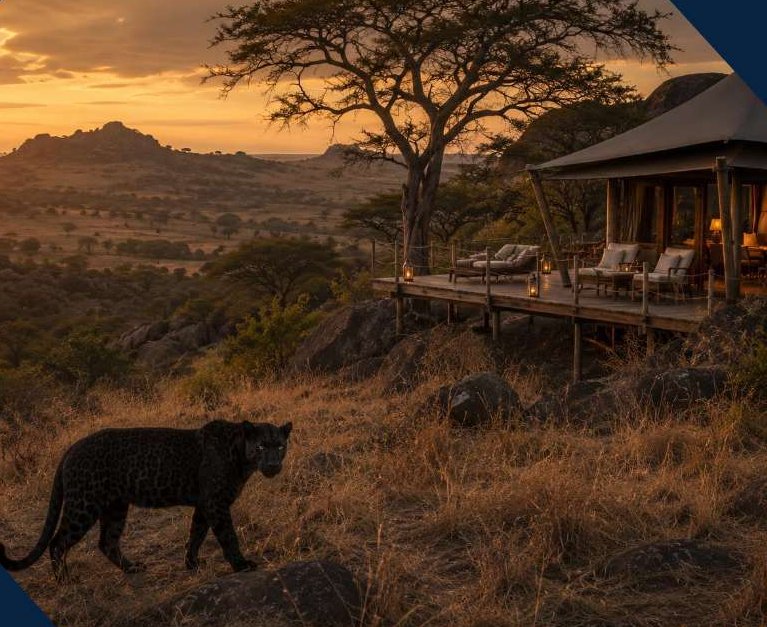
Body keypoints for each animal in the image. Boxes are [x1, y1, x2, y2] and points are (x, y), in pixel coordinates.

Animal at [0, 419, 292, 579]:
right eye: (261, 446)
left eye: (280, 446)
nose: (273, 465)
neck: (240, 456)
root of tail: (72, 447)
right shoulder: (215, 504)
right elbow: (228, 536)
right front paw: (241, 565)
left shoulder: (203, 505)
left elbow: (196, 534)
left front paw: (192, 564)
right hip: (83, 506)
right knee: (58, 542)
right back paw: (65, 581)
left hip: (116, 507)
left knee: (107, 542)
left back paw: (132, 568)